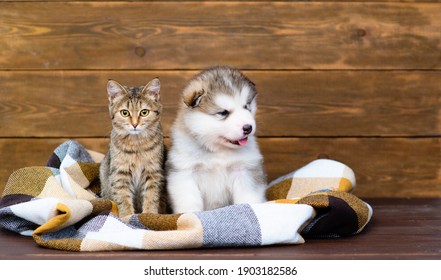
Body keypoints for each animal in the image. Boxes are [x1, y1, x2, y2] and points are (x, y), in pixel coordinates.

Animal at [99, 77, 167, 218]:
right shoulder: (120, 173)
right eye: (125, 113)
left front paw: (149, 215)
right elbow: (123, 197)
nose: (135, 124)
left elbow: (151, 196)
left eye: (144, 112)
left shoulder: (153, 172)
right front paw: (127, 217)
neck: (137, 144)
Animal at [167, 66, 266, 214]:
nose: (248, 127)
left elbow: (248, 197)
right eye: (223, 113)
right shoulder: (185, 172)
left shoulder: (245, 170)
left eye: (246, 106)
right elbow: (189, 201)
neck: (218, 150)